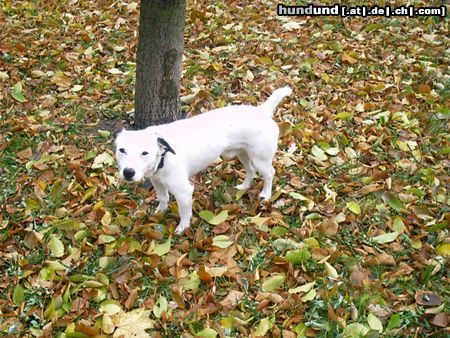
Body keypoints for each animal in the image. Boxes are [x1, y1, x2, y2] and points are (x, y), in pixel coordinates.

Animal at [116, 87, 292, 234]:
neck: (163, 158)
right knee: (250, 170)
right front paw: (161, 211)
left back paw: (266, 195)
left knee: (269, 174)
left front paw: (183, 228)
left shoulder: (184, 192)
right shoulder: (157, 182)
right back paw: (244, 186)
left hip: (260, 159)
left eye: (144, 153)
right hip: (243, 153)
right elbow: (163, 198)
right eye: (122, 150)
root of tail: (262, 111)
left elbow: (184, 212)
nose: (128, 172)